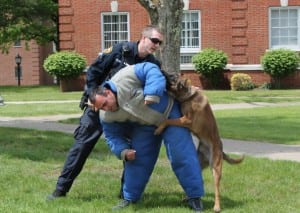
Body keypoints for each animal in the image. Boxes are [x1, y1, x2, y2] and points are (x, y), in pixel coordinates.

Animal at [156, 76, 245, 211]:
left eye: (173, 80)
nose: (163, 77)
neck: (188, 96)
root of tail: (220, 149)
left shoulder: (186, 120)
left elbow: (167, 120)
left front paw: (159, 128)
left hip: (216, 169)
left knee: (217, 190)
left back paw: (217, 206)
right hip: (199, 163)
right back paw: (188, 198)